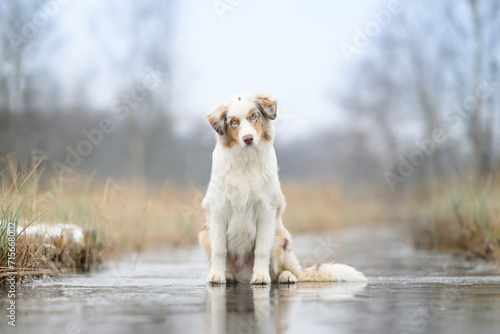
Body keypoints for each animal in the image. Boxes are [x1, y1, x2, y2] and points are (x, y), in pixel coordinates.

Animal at [199, 92, 368, 284]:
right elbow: (219, 249)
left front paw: (261, 276)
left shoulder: (266, 211)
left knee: (284, 270)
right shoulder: (218, 210)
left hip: (280, 238)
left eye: (253, 117)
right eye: (234, 122)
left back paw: (286, 276)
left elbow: (261, 249)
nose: (248, 138)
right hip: (204, 234)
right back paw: (228, 275)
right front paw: (217, 275)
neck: (246, 161)